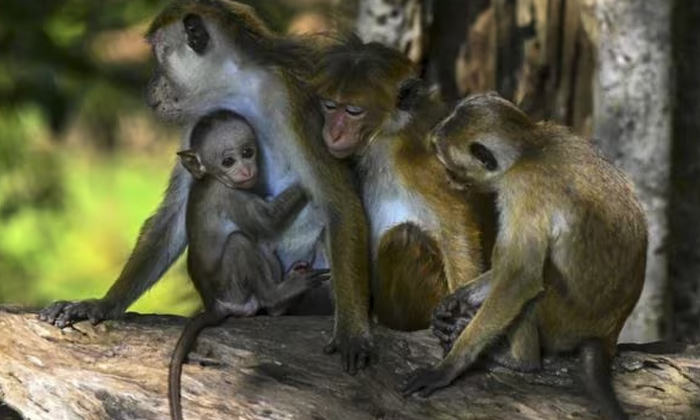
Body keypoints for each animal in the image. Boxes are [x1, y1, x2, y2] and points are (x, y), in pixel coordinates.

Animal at [40, 0, 372, 374]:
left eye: (158, 57)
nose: (150, 86)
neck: (238, 86)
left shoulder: (295, 102)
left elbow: (338, 202)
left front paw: (352, 332)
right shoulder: (199, 124)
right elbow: (175, 215)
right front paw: (103, 304)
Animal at [169, 110, 329, 420]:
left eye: (247, 152)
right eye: (228, 161)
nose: (246, 171)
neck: (214, 180)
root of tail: (215, 304)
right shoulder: (232, 196)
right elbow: (267, 221)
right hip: (235, 290)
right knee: (242, 241)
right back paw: (277, 296)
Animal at [310, 36, 495, 331]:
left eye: (353, 111)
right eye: (329, 106)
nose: (333, 132)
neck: (387, 137)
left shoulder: (418, 160)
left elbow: (456, 222)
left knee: (403, 237)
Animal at [400, 92, 648, 420]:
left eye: (451, 167)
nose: (450, 179)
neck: (530, 148)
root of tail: (607, 334)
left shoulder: (522, 189)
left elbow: (520, 278)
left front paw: (449, 366)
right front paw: (455, 301)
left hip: (562, 323)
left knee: (533, 289)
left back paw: (519, 362)